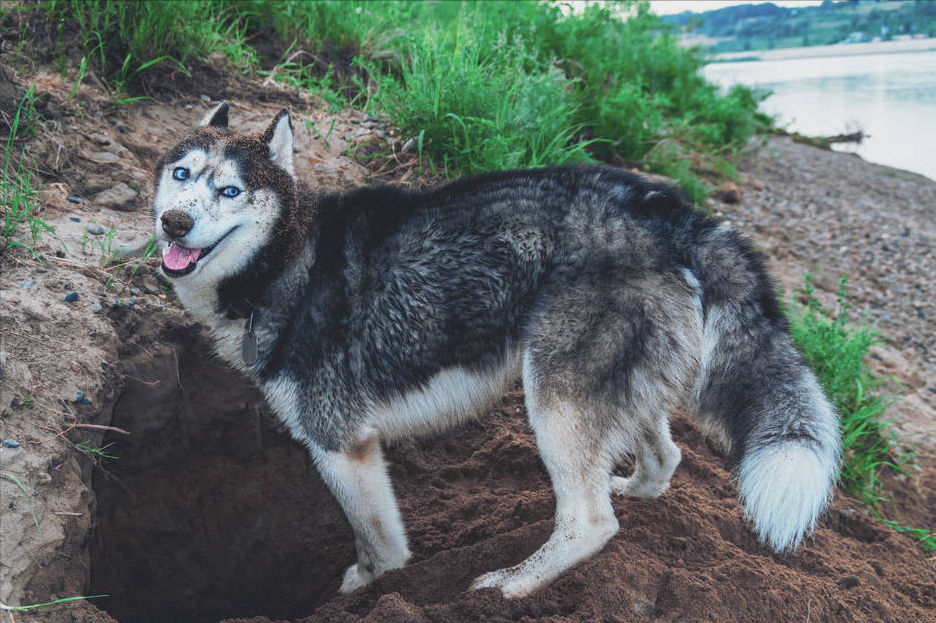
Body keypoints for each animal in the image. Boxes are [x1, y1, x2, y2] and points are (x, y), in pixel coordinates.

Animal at [154, 103, 840, 600]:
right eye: (181, 176)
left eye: (232, 190)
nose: (173, 224)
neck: (286, 259)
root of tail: (671, 213)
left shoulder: (340, 445)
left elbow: (379, 546)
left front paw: (369, 591)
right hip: (614, 388)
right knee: (666, 457)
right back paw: (634, 490)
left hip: (555, 402)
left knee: (588, 522)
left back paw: (510, 586)